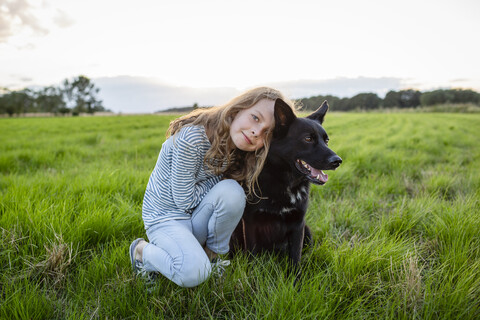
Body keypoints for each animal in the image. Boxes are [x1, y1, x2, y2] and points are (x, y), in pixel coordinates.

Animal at [229, 98, 342, 278]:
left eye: (326, 140)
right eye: (308, 139)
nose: (337, 161)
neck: (284, 181)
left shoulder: (298, 224)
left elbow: (295, 257)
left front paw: (295, 282)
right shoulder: (251, 222)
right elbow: (252, 255)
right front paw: (252, 278)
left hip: (307, 232)